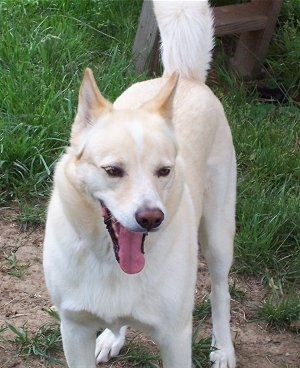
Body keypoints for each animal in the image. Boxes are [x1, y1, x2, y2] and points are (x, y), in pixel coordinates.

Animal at [44, 1, 237, 366]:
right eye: (112, 170)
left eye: (164, 171)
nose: (151, 218)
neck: (109, 263)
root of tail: (184, 76)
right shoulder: (73, 329)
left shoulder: (176, 339)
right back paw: (111, 338)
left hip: (219, 237)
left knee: (221, 291)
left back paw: (224, 350)